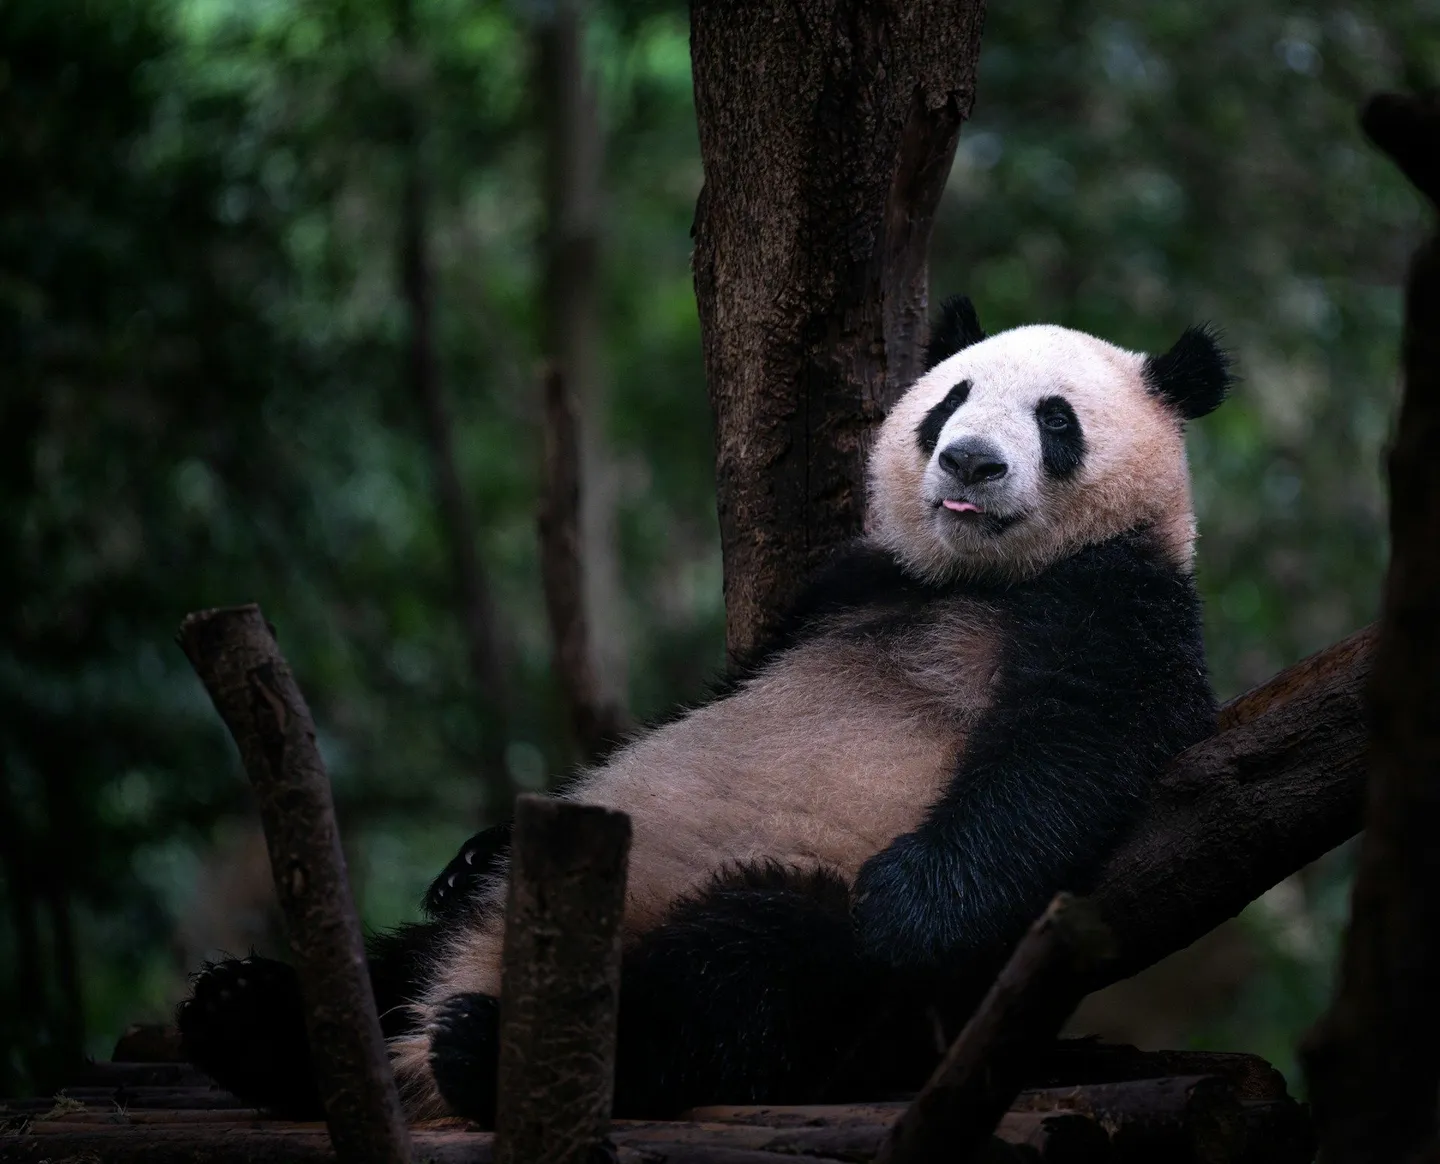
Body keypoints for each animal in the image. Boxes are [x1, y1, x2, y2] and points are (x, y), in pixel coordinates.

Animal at [178, 295, 1229, 1124]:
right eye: (950, 403)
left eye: (1055, 420)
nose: (970, 463)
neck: (979, 582)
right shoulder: (845, 587)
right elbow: (733, 680)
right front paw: (470, 847)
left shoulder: (1122, 612)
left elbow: (1069, 752)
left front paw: (908, 902)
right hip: (499, 913)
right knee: (412, 952)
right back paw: (247, 1013)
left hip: (798, 918)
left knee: (746, 974)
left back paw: (479, 1049)